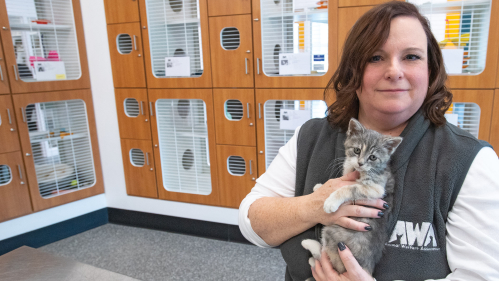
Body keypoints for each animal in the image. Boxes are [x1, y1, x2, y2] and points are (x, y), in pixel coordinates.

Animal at [300, 117, 402, 274]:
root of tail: (366, 266)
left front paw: (331, 201)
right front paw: (320, 188)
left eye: (373, 157)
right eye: (357, 150)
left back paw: (310, 247)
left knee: (330, 260)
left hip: (333, 234)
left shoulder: (376, 187)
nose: (360, 163)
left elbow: (350, 187)